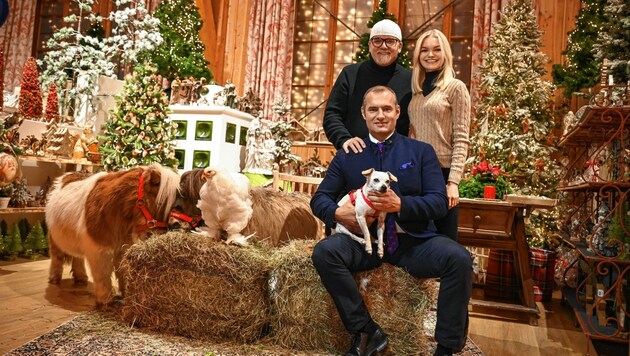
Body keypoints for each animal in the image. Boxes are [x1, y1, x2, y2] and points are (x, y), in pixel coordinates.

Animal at [46, 164, 180, 306]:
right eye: (163, 201)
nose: (174, 226)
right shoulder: (99, 251)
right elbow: (103, 275)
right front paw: (105, 300)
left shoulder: (123, 249)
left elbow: (124, 271)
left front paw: (127, 294)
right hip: (54, 238)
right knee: (57, 257)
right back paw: (54, 278)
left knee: (77, 258)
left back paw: (81, 278)